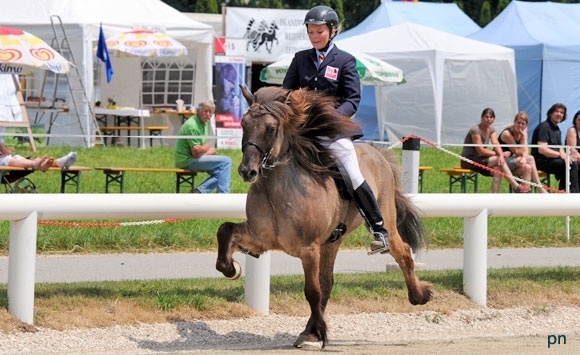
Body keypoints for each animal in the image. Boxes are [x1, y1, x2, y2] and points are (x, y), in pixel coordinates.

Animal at [215, 86, 432, 350]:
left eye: (271, 128)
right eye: (243, 124)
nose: (248, 171)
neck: (278, 189)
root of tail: (377, 152)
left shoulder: (308, 249)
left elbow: (312, 291)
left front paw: (316, 334)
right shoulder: (261, 238)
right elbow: (225, 230)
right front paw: (231, 268)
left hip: (384, 218)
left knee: (403, 253)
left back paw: (419, 295)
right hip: (331, 243)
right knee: (328, 282)